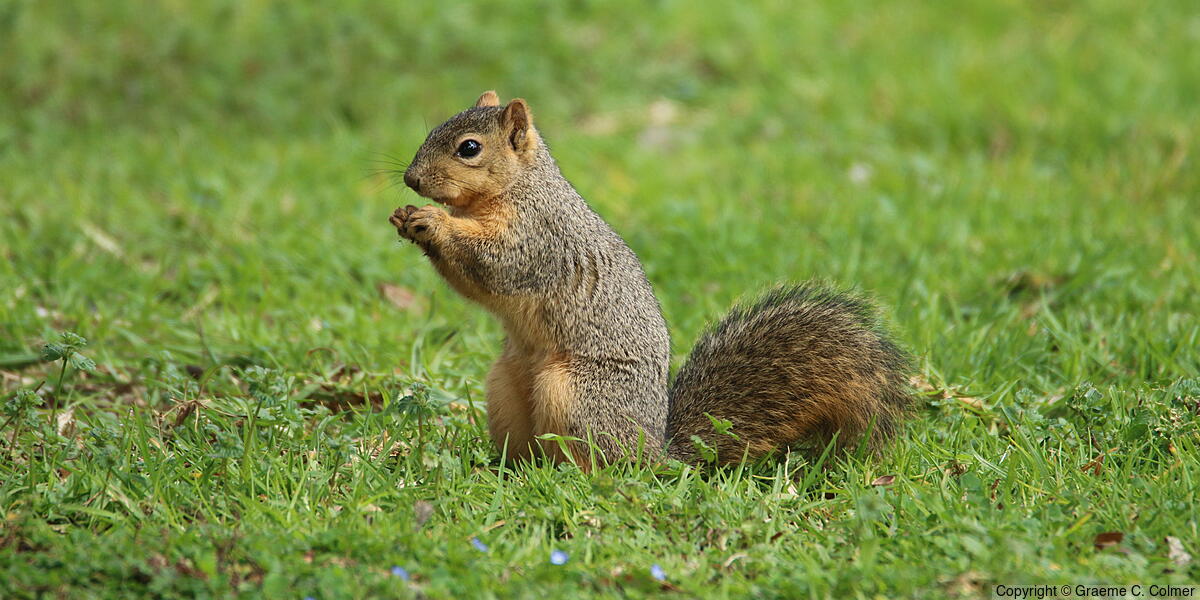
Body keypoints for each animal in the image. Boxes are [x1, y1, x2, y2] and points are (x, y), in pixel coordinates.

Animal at [388, 90, 912, 467]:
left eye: (469, 148)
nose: (411, 180)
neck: (518, 188)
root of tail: (656, 450)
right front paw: (405, 217)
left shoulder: (539, 239)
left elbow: (494, 265)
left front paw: (432, 222)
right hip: (505, 387)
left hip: (575, 394)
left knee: (602, 462)